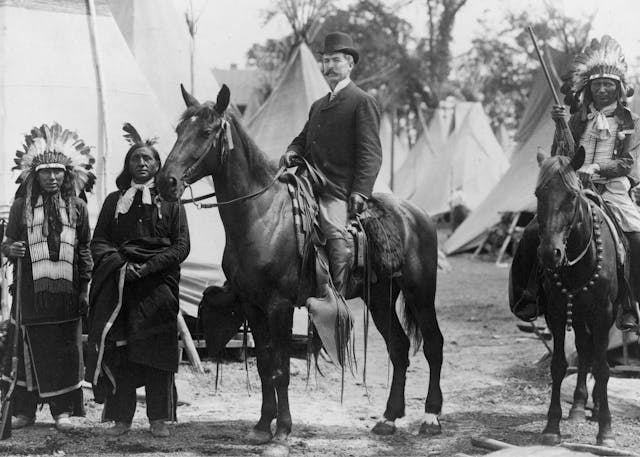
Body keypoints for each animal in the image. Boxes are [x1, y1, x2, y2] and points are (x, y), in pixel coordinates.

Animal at [158, 84, 442, 452]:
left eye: (206, 132)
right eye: (179, 129)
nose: (165, 182)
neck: (261, 214)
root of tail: (417, 215)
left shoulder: (279, 305)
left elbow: (280, 368)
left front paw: (282, 432)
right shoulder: (253, 306)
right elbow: (264, 365)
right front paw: (262, 425)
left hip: (420, 292)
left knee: (433, 344)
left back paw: (431, 418)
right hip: (379, 297)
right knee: (400, 348)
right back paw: (388, 419)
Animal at [536, 148, 620, 448]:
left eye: (572, 195)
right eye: (538, 194)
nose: (550, 253)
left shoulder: (604, 313)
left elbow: (604, 368)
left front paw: (606, 429)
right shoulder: (557, 313)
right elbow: (559, 365)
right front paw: (552, 425)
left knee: (594, 354)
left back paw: (594, 407)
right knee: (584, 350)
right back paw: (579, 405)